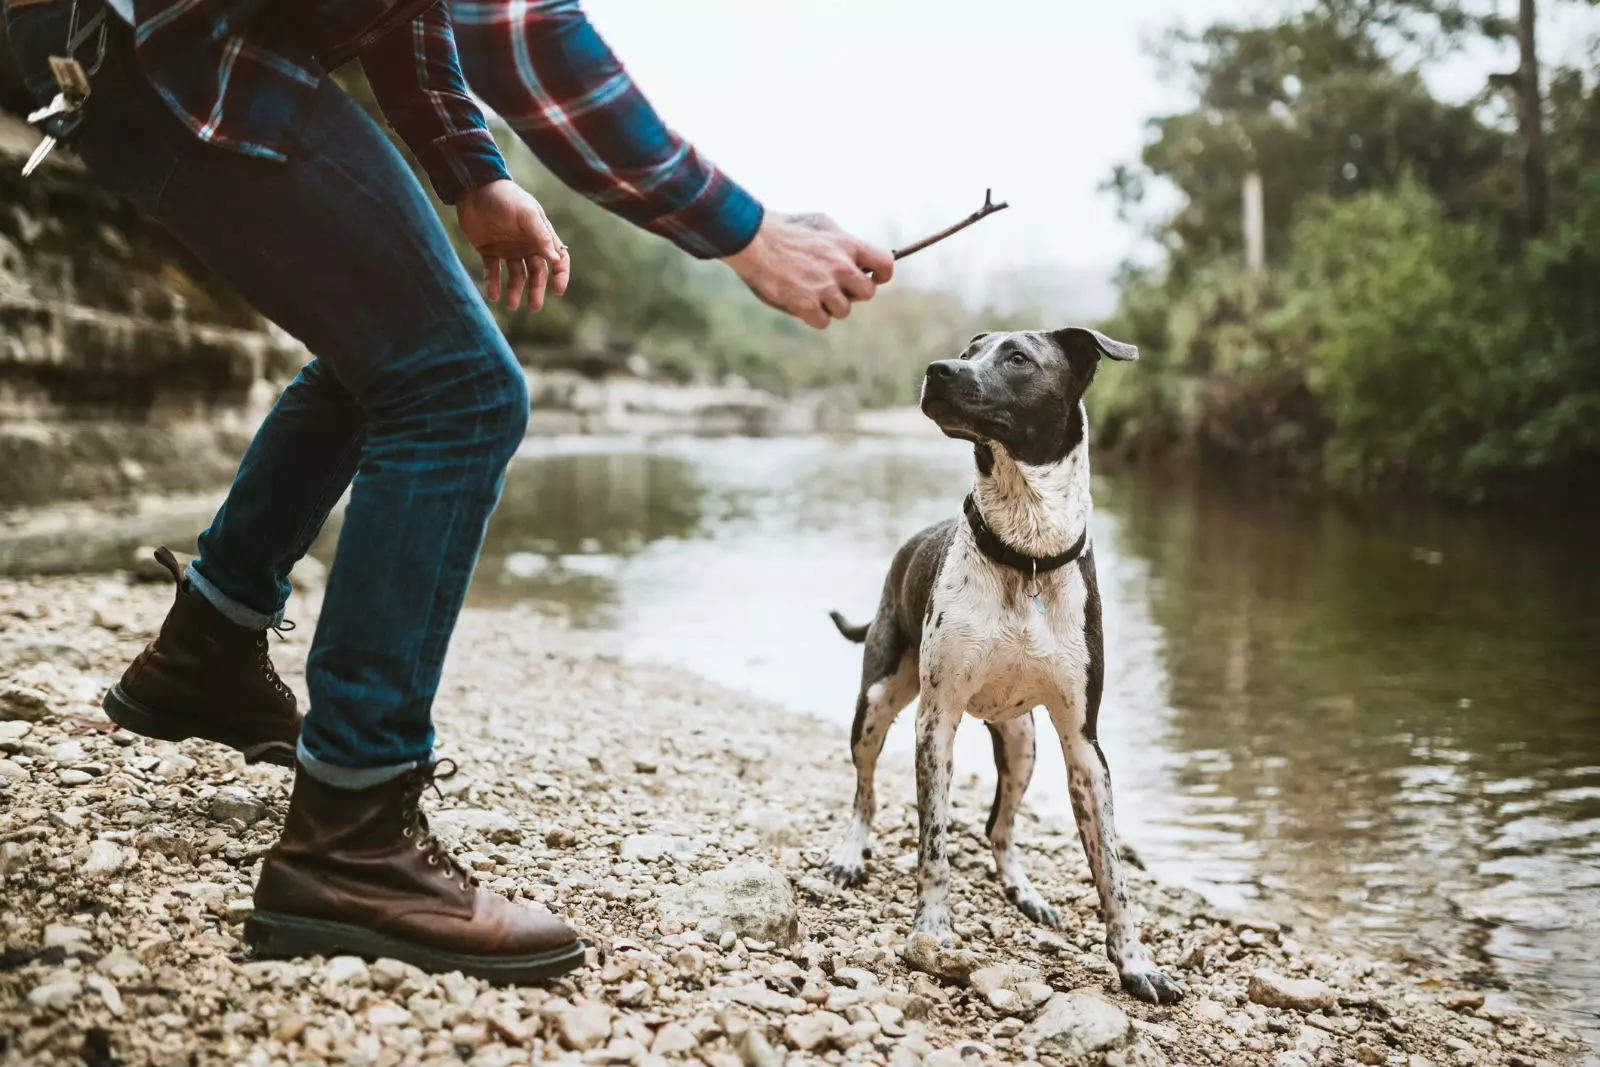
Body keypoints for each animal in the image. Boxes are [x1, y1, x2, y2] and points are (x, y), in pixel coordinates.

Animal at [832, 323, 1184, 1004]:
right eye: (969, 353)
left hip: (1022, 743)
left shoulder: (1084, 745)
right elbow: (934, 845)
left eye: (1017, 358)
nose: (938, 369)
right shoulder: (936, 723)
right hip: (878, 702)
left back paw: (1025, 892)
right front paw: (933, 929)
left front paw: (1136, 964)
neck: (1028, 554)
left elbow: (1112, 874)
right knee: (865, 792)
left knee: (1000, 827)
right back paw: (848, 854)